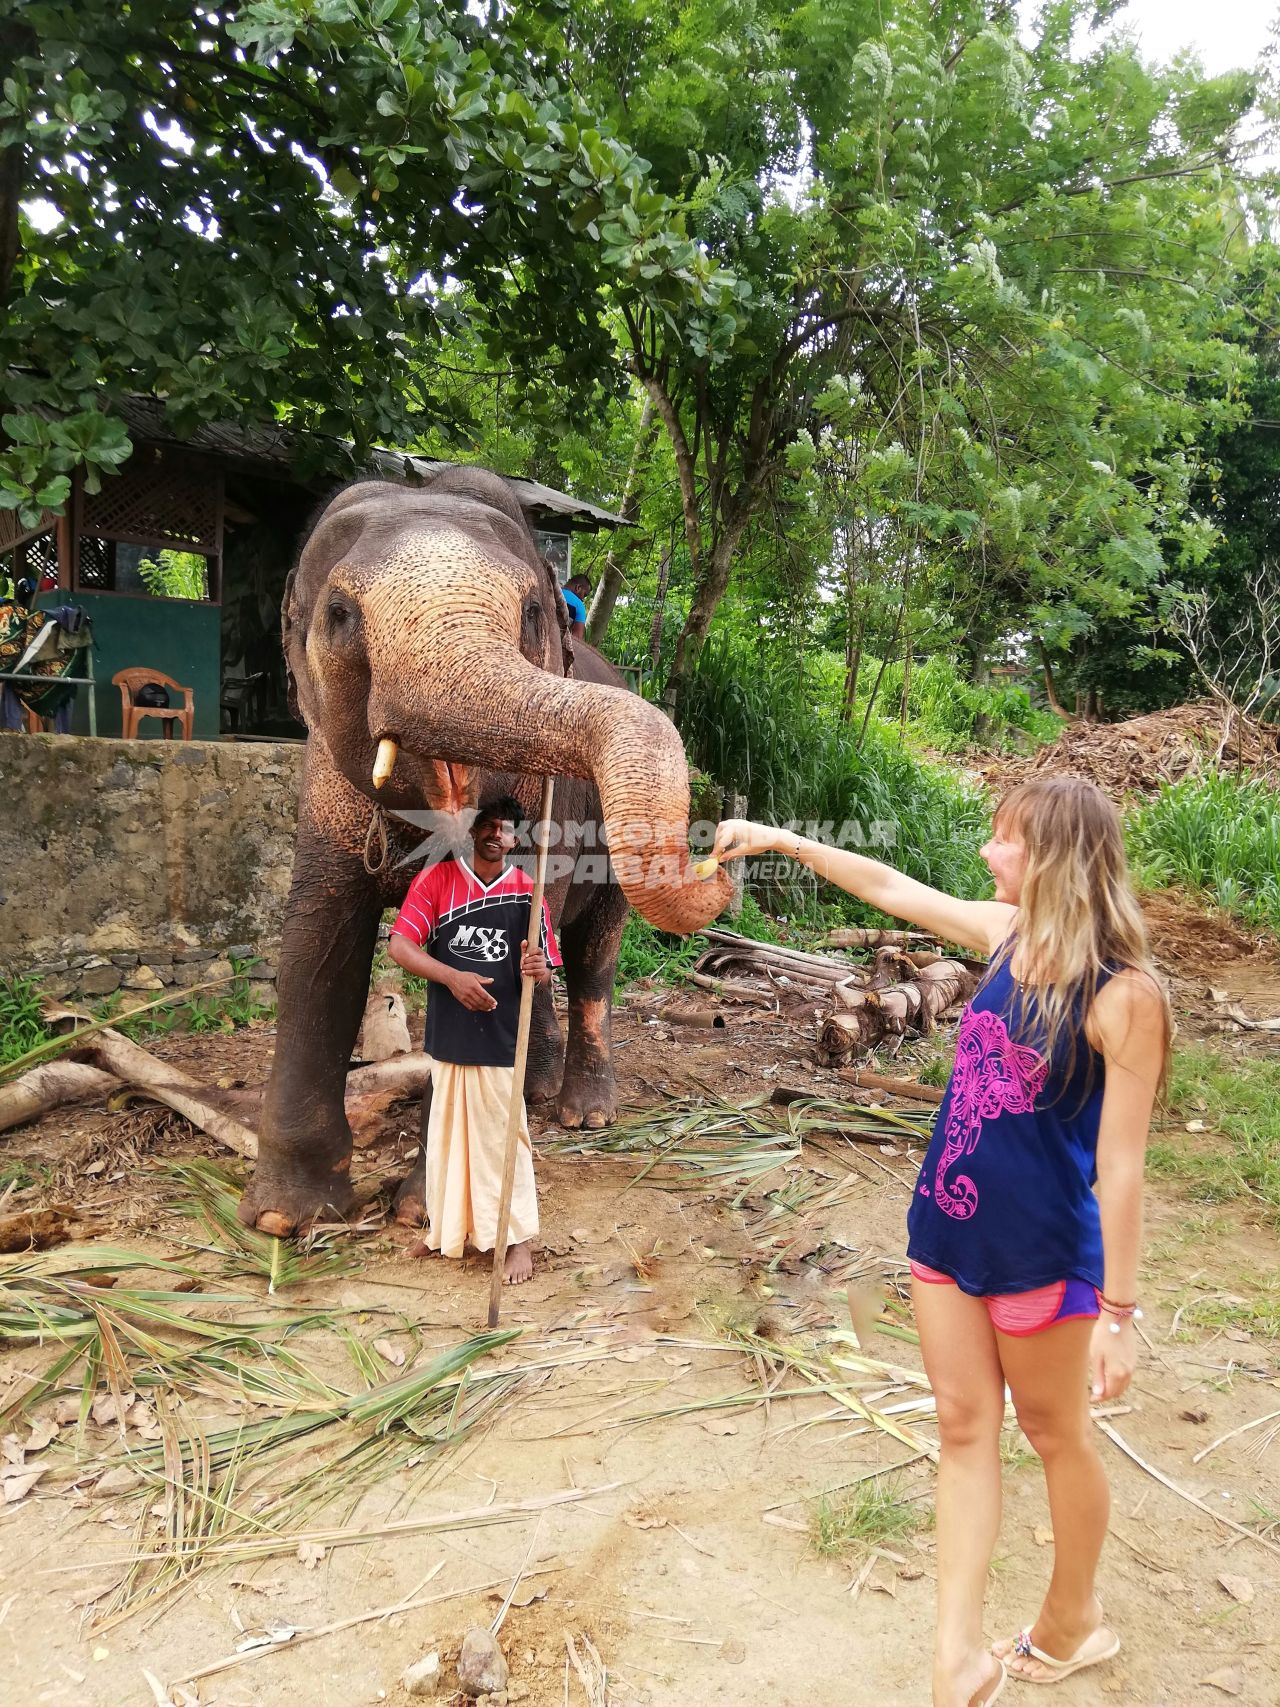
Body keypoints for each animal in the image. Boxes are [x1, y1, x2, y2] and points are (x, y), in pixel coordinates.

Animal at [240, 464, 737, 1242]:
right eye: (340, 615)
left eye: (531, 611)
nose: (724, 856)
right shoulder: (321, 790)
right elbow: (317, 951)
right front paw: (282, 1219)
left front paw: (428, 1209)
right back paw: (534, 1091)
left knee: (593, 957)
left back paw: (583, 1112)